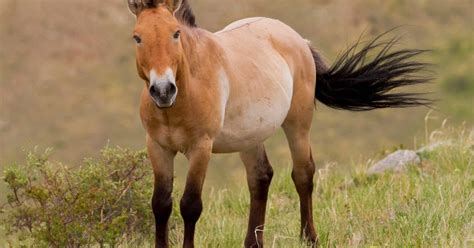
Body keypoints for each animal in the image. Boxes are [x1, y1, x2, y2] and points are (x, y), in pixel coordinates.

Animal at [126, 0, 430, 247]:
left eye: (175, 33)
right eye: (137, 38)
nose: (163, 90)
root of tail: (298, 38)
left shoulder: (201, 148)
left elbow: (190, 205)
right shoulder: (158, 147)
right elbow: (160, 204)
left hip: (298, 123)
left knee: (303, 174)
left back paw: (309, 238)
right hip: (250, 137)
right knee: (260, 178)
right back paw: (253, 243)